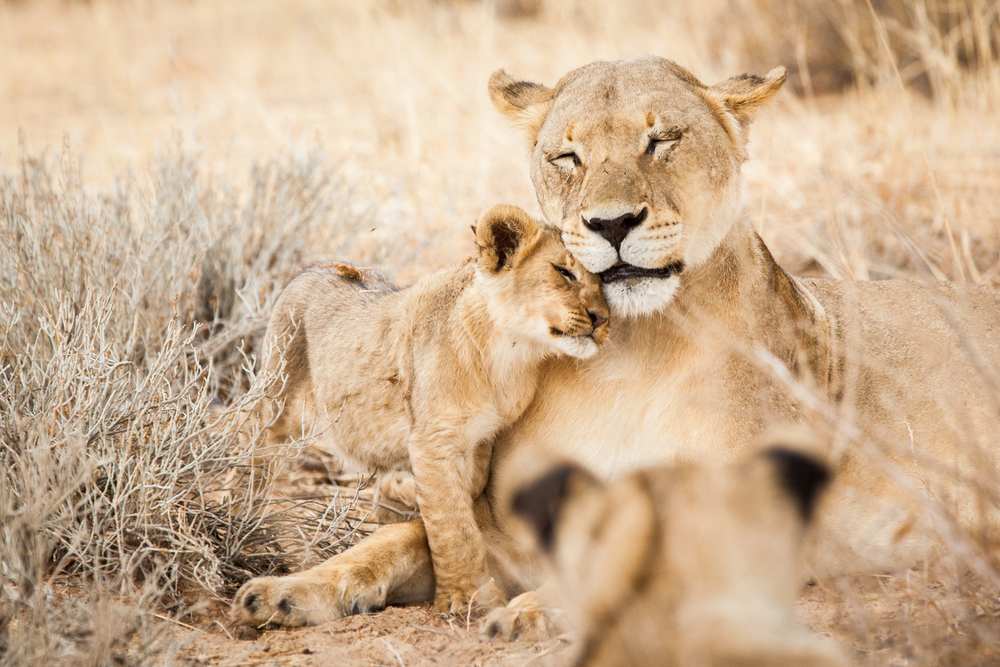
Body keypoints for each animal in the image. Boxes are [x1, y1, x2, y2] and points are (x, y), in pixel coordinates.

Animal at [231, 204, 609, 625]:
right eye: (563, 272)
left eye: (603, 281)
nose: (603, 317)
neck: (510, 353)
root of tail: (312, 267)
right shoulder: (435, 439)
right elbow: (453, 528)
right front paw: (465, 597)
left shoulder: (481, 438)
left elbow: (461, 501)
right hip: (275, 399)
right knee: (254, 454)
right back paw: (241, 517)